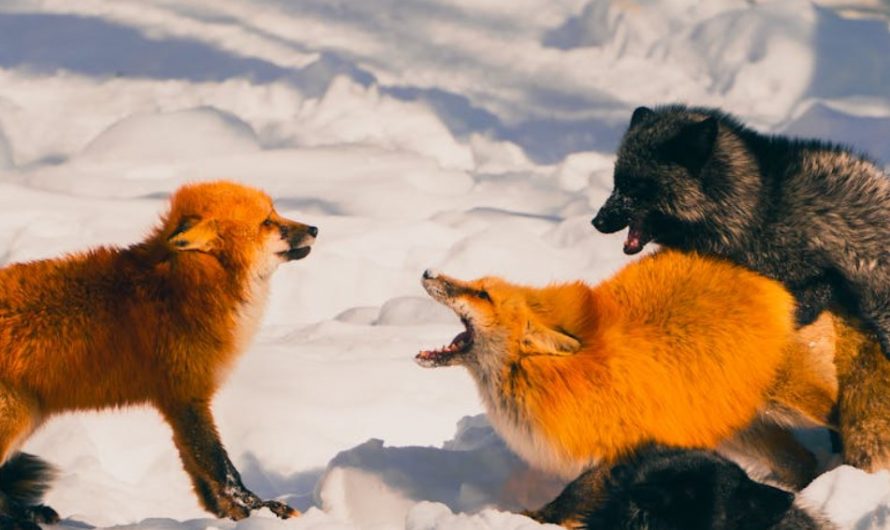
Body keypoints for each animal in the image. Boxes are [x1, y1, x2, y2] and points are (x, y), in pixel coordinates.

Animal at [0, 180, 317, 527]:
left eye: (276, 213)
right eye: (268, 222)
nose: (314, 228)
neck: (188, 284)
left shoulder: (177, 402)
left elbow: (202, 477)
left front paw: (232, 516)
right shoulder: (187, 397)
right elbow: (221, 468)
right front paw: (260, 511)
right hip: (15, 418)